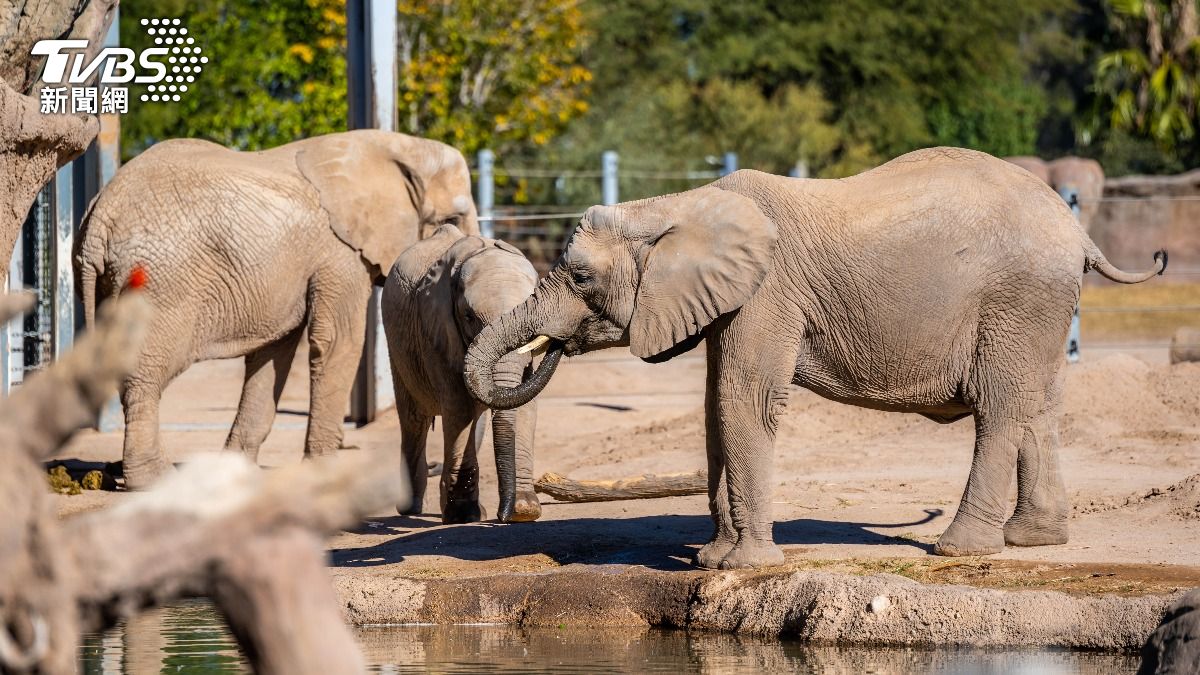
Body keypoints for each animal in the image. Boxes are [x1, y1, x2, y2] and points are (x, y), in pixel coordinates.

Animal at [75, 130, 478, 489]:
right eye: (452, 221)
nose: (433, 467)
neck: (395, 145)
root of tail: (99, 218)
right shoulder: (339, 255)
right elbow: (337, 343)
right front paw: (323, 474)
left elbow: (274, 352)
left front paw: (237, 473)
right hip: (159, 283)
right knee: (143, 374)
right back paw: (153, 479)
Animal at [382, 224, 542, 523]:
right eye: (468, 317)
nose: (503, 516)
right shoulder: (437, 330)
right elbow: (458, 407)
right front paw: (462, 515)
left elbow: (525, 401)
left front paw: (524, 511)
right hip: (398, 344)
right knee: (413, 420)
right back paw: (411, 509)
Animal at [462, 147, 1167, 570]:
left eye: (581, 278)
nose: (551, 345)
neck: (679, 204)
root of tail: (1077, 230)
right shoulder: (729, 301)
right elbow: (716, 406)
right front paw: (711, 560)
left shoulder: (769, 290)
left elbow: (743, 400)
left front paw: (745, 567)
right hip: (1039, 307)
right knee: (1037, 405)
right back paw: (1032, 539)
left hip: (1017, 298)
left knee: (998, 410)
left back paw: (956, 551)